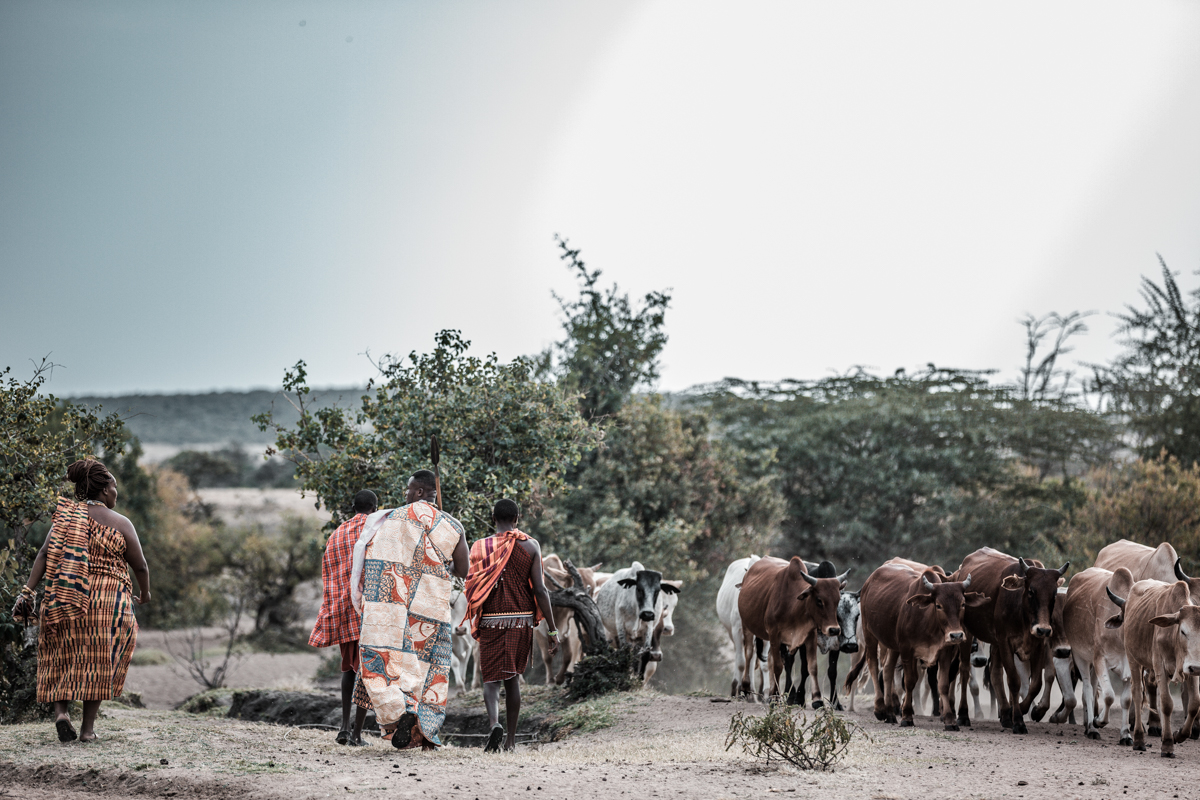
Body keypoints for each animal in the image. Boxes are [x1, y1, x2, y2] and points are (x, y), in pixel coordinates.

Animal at [739, 556, 844, 705]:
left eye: (838, 599)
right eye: (819, 600)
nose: (834, 630)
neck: (793, 605)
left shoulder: (809, 636)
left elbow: (812, 667)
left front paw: (817, 699)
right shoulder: (774, 635)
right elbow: (778, 667)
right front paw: (775, 697)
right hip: (746, 625)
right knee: (749, 654)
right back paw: (746, 688)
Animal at [849, 563, 988, 734]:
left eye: (962, 604)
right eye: (938, 605)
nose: (956, 635)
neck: (928, 622)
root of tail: (870, 580)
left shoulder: (945, 653)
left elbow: (943, 684)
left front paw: (950, 720)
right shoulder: (907, 650)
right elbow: (909, 682)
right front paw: (907, 716)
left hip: (892, 644)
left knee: (887, 670)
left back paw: (890, 713)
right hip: (870, 635)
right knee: (874, 666)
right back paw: (880, 709)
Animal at [955, 546, 1070, 734]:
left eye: (1053, 595)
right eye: (1031, 591)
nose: (1043, 629)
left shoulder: (1038, 646)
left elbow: (1036, 684)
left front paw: (1025, 711)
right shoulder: (1005, 643)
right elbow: (1014, 681)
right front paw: (1018, 721)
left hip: (995, 643)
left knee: (995, 672)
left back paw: (1005, 714)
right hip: (967, 632)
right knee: (965, 670)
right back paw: (963, 715)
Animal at [1104, 578, 1200, 762]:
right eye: (1183, 631)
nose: (1196, 666)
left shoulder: (1191, 671)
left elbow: (1194, 704)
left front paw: (1178, 735)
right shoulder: (1160, 666)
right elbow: (1167, 703)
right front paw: (1168, 744)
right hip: (1133, 659)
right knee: (1137, 693)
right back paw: (1138, 739)